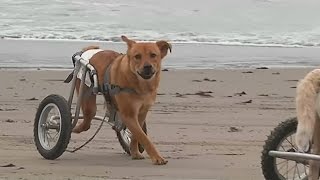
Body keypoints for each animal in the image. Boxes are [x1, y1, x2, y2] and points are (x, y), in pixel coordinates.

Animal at [73, 35, 172, 165]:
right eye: (137, 56)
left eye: (153, 55)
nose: (147, 66)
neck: (140, 84)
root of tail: (89, 50)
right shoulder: (129, 115)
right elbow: (144, 138)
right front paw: (157, 157)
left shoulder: (141, 114)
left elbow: (136, 136)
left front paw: (135, 153)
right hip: (86, 92)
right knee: (87, 119)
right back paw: (74, 128)